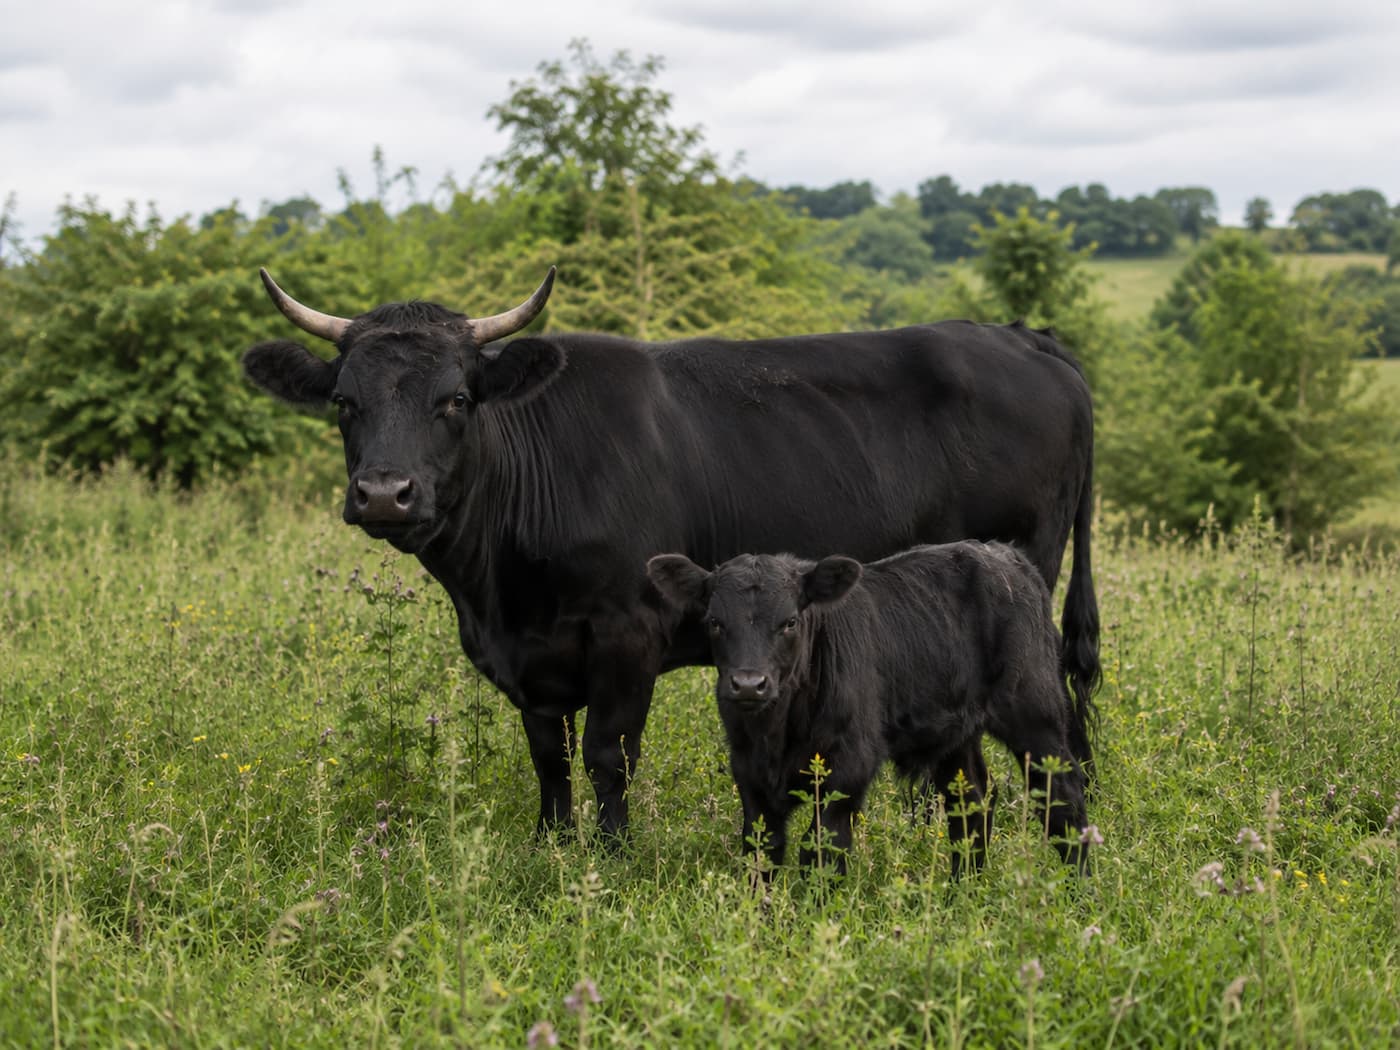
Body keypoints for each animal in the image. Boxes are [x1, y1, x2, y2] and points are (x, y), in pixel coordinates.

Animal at [242, 267, 1099, 841]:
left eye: (455, 399)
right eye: (344, 402)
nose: (385, 493)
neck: (498, 594)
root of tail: (1022, 336)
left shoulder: (628, 635)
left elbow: (607, 755)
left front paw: (614, 857)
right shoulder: (531, 662)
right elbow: (549, 760)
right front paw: (552, 849)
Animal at [646, 543, 1093, 878]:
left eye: (790, 621)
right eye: (715, 621)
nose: (749, 683)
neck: (777, 730)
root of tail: (1007, 556)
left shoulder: (850, 765)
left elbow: (821, 849)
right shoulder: (749, 773)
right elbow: (762, 851)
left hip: (1034, 712)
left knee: (1063, 797)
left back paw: (1078, 893)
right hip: (957, 731)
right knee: (970, 801)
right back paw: (962, 892)